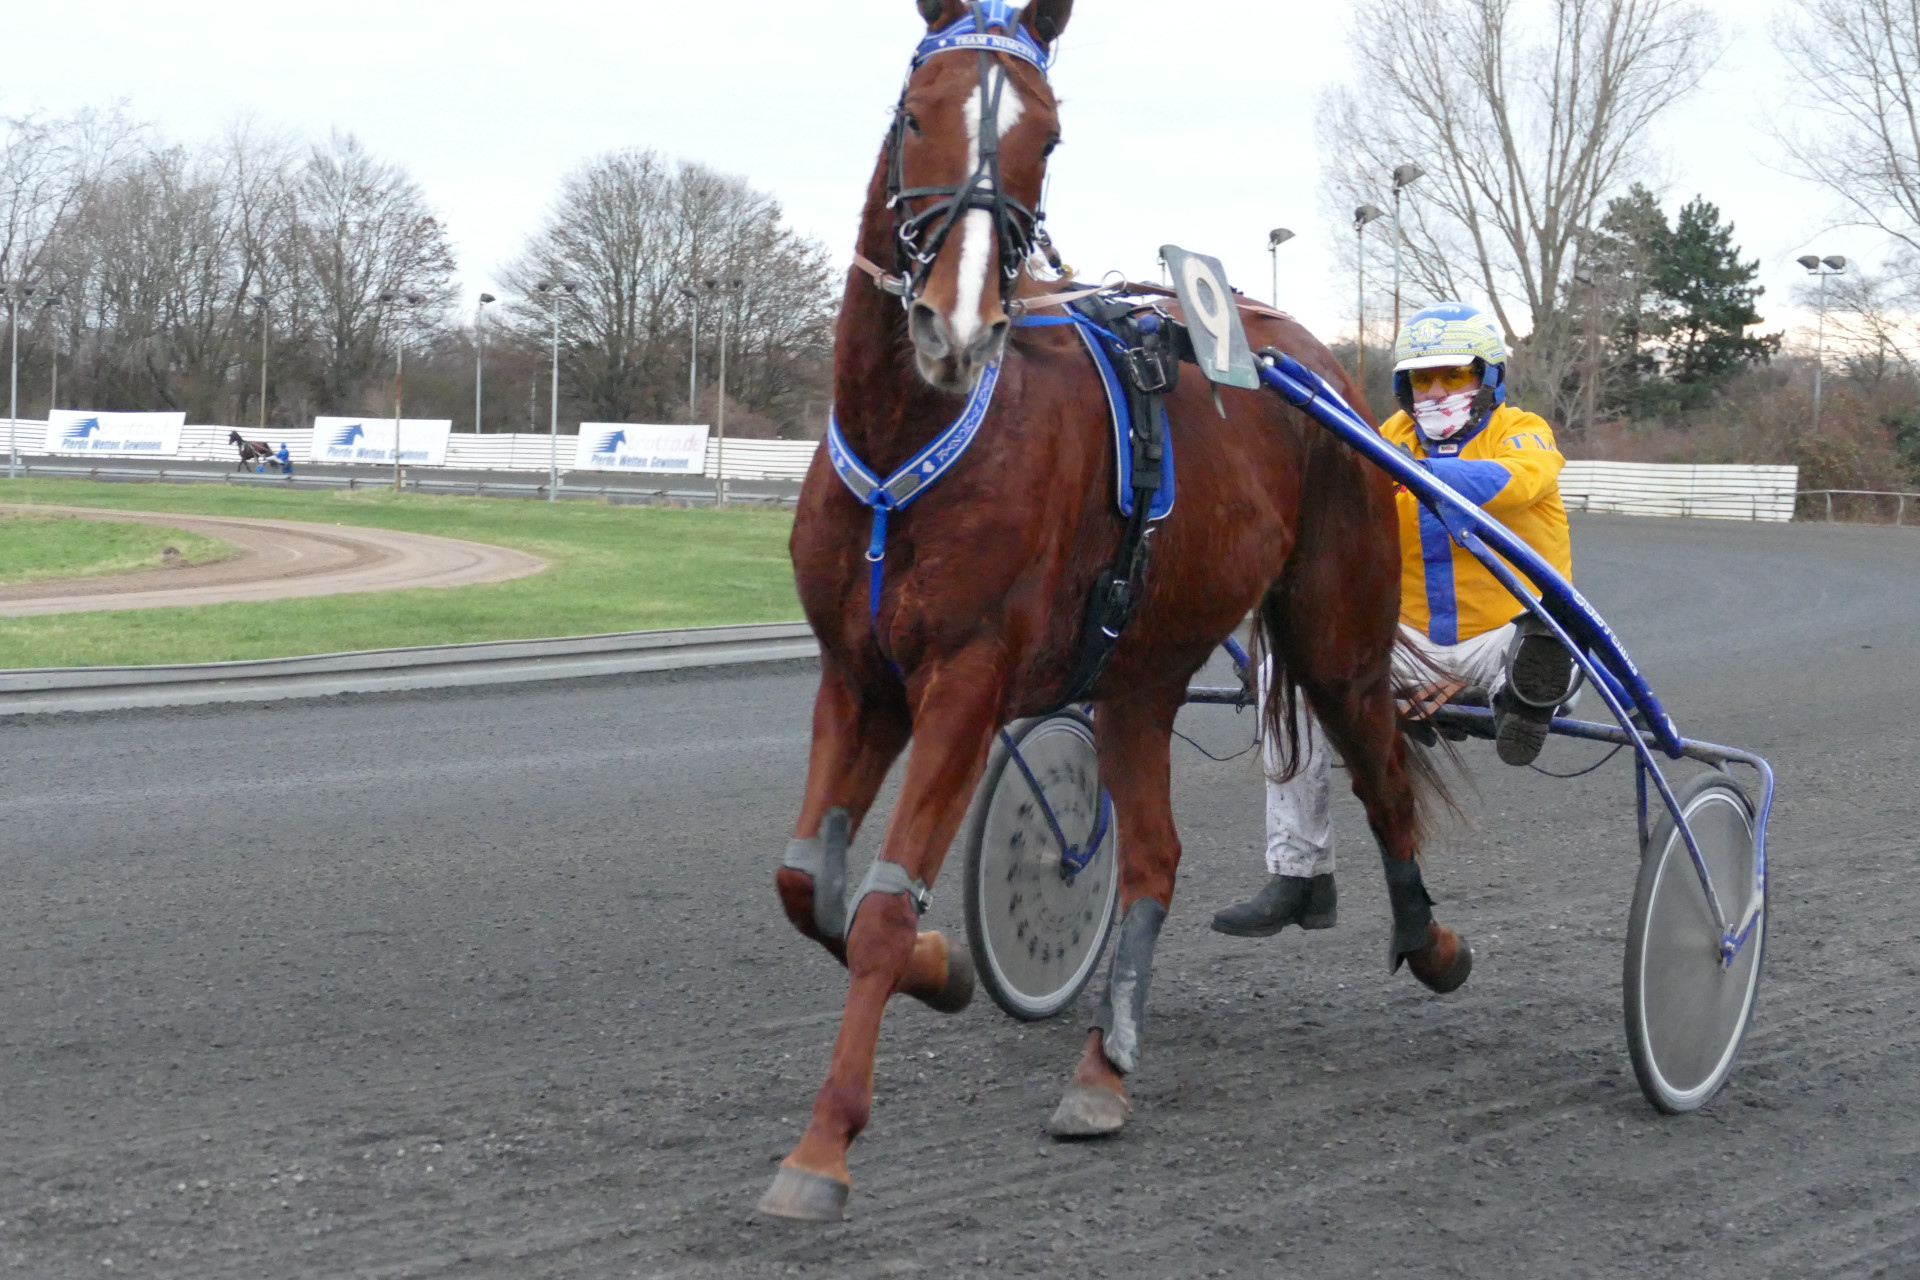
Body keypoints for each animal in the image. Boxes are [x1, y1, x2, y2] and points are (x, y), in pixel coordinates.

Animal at [762, 0, 1471, 1222]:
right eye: (917, 113)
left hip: (1334, 633)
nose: (956, 326)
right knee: (1152, 857)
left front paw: (824, 1144)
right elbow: (811, 882)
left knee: (1380, 763)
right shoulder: (858, 675)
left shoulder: (966, 679)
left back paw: (1431, 942)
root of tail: (1309, 355)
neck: (914, 445)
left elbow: (883, 911)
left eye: (1046, 138)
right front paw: (948, 968)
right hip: (1140, 673)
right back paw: (1104, 1067)